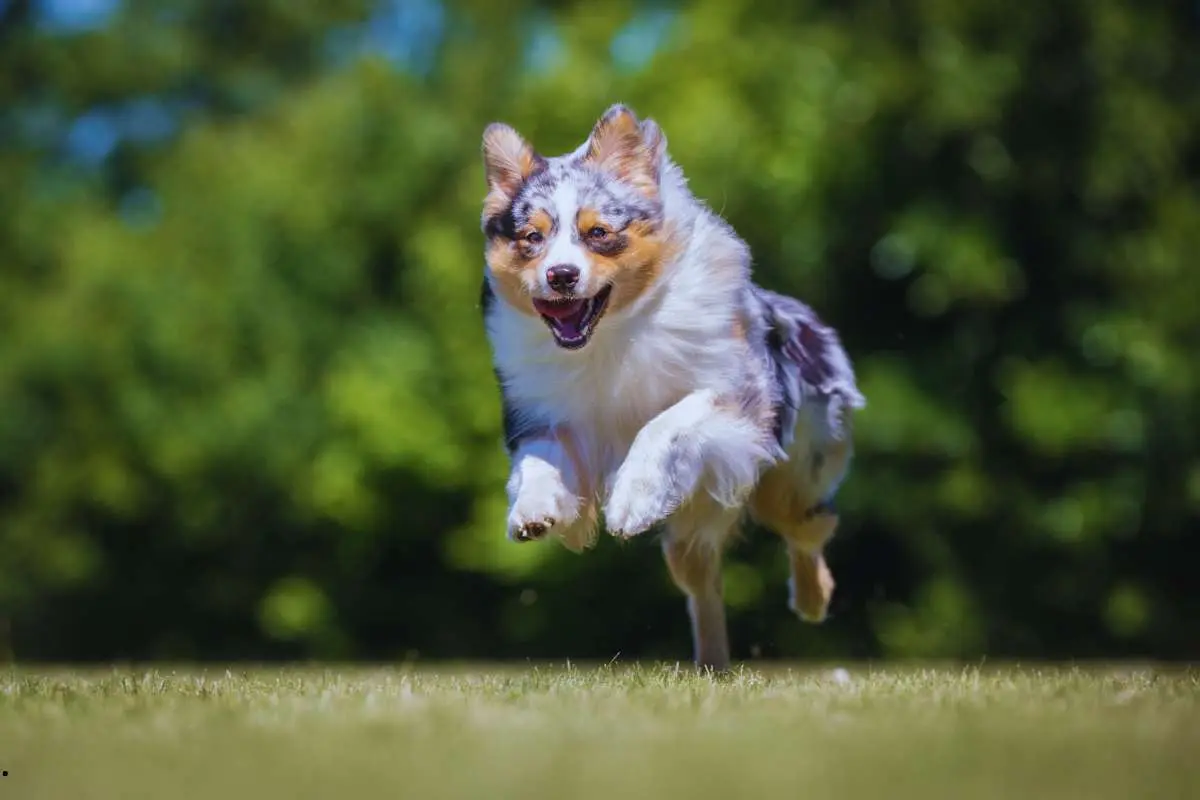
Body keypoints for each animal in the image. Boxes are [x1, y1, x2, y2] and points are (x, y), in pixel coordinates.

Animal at [475, 104, 864, 671]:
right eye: (531, 238)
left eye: (597, 232)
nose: (561, 275)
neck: (610, 335)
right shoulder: (545, 413)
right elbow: (541, 460)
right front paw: (535, 509)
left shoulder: (737, 395)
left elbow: (666, 423)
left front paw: (632, 501)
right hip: (694, 531)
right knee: (704, 585)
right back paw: (712, 663)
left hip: (789, 480)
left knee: (809, 529)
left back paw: (812, 600)